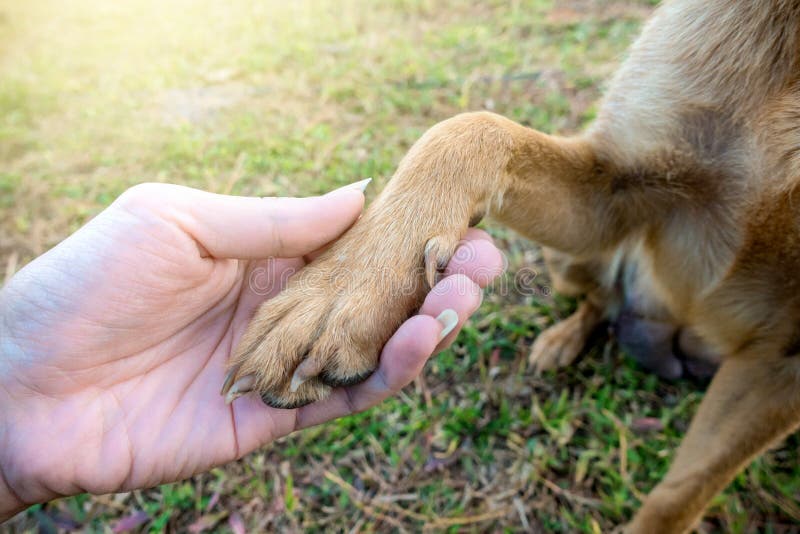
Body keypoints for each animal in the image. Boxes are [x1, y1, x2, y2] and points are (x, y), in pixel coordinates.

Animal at [222, 2, 800, 532]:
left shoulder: (779, 366)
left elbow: (681, 491)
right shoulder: (611, 191)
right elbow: (470, 125)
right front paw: (345, 288)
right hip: (570, 259)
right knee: (597, 300)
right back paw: (562, 341)